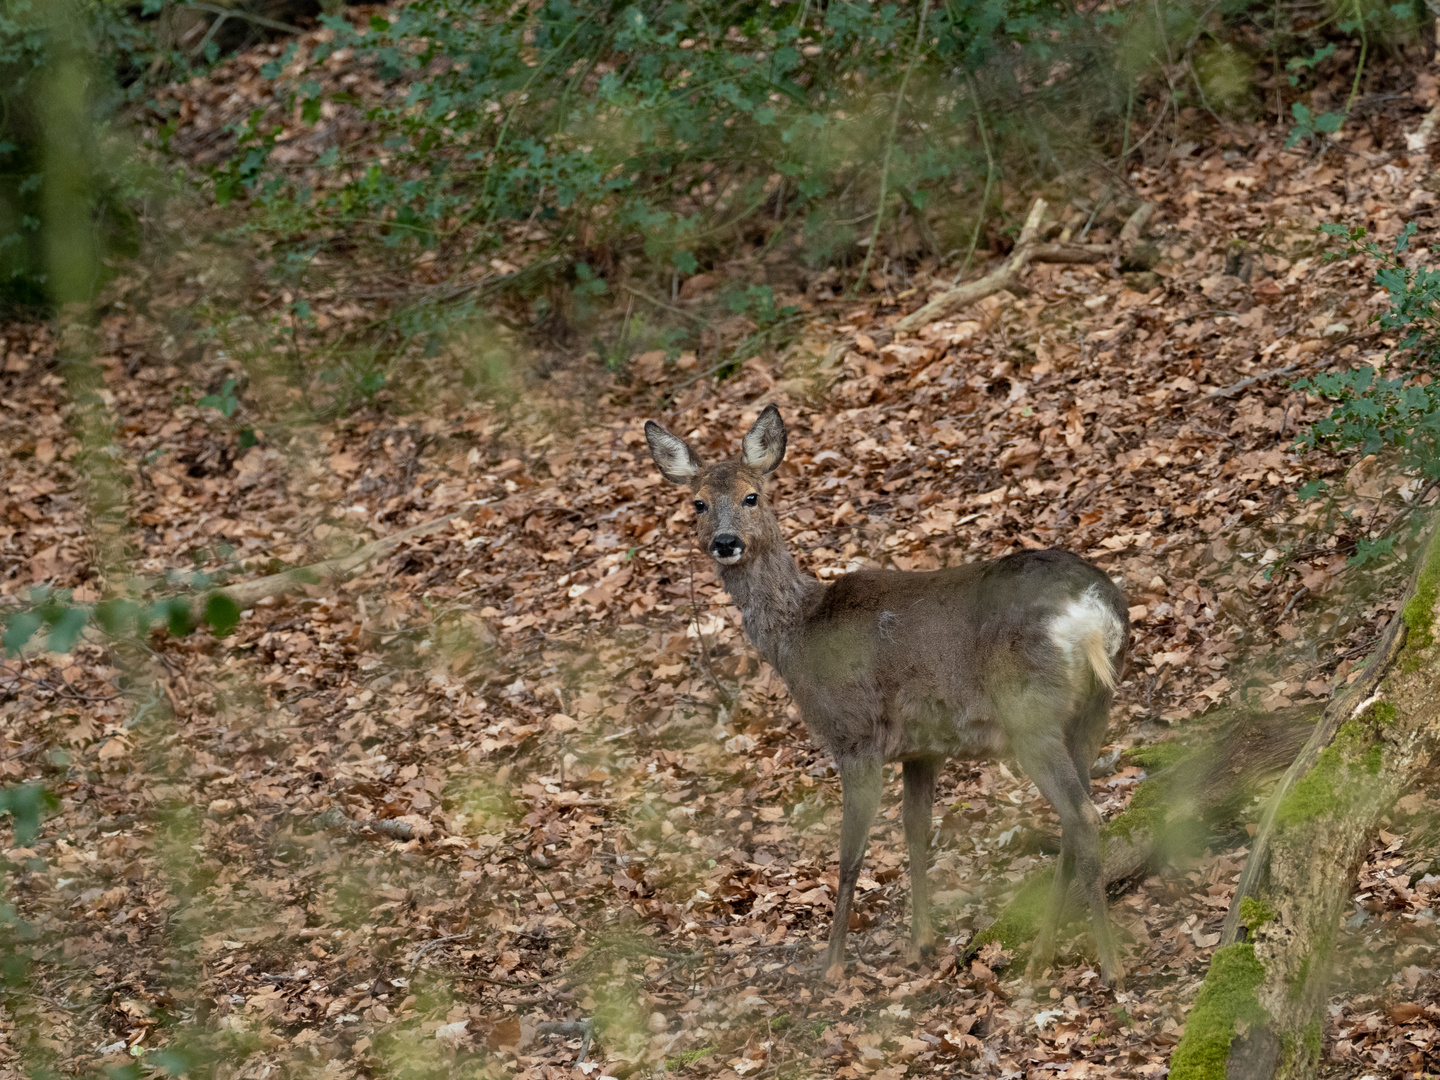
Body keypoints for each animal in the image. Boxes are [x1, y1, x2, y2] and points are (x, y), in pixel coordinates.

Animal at [648, 406, 1128, 990]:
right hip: (1091, 710)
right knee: (1076, 816)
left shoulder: (854, 734)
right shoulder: (923, 747)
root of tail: (1095, 612)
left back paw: (1110, 966)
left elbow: (850, 853)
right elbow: (915, 833)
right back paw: (1040, 956)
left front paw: (831, 964)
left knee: (1083, 815)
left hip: (1030, 714)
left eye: (751, 496)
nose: (724, 541)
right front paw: (922, 943)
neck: (799, 634)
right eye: (697, 502)